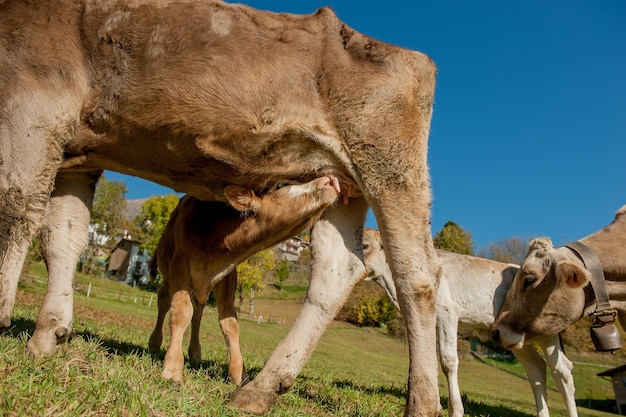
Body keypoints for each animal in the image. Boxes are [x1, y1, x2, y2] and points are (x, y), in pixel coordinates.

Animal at [149, 176, 338, 384]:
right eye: (280, 185)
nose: (330, 179)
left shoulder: (228, 276)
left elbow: (230, 323)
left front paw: (239, 373)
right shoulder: (179, 266)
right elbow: (181, 312)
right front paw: (172, 367)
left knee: (197, 312)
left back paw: (195, 354)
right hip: (167, 274)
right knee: (164, 301)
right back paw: (154, 343)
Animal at [364, 228, 576, 416]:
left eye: (365, 245)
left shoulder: (447, 311)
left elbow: (448, 360)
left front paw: (455, 410)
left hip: (546, 332)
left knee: (562, 370)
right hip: (514, 337)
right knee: (536, 367)